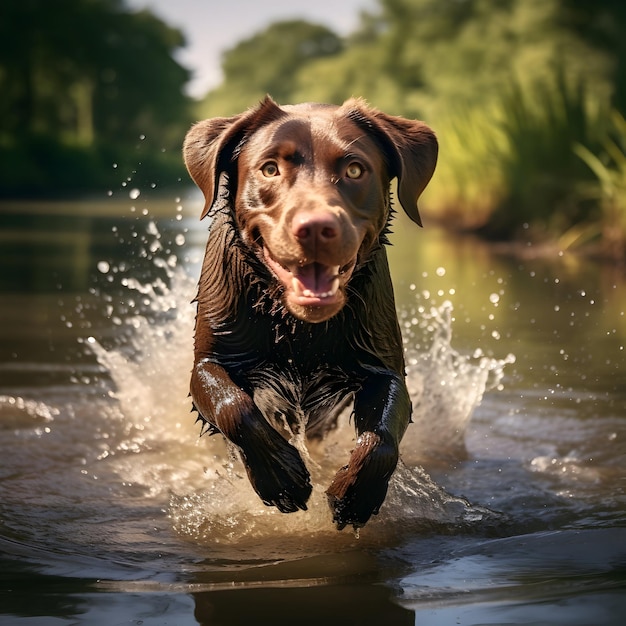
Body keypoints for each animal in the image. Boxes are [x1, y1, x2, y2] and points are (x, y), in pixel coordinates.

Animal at [183, 97, 436, 528]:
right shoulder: (210, 361)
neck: (298, 326)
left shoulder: (382, 368)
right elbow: (233, 406)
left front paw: (354, 494)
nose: (316, 228)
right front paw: (281, 477)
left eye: (355, 169)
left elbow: (382, 437)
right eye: (270, 168)